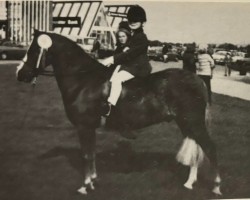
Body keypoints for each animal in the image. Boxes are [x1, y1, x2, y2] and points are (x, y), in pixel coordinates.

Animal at [16, 30, 222, 195]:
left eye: (33, 51)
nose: (20, 74)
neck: (83, 80)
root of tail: (196, 79)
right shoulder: (89, 128)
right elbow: (91, 153)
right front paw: (93, 181)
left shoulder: (84, 127)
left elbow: (86, 155)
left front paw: (84, 186)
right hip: (186, 123)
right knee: (197, 149)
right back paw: (189, 183)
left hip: (194, 123)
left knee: (211, 148)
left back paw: (216, 187)